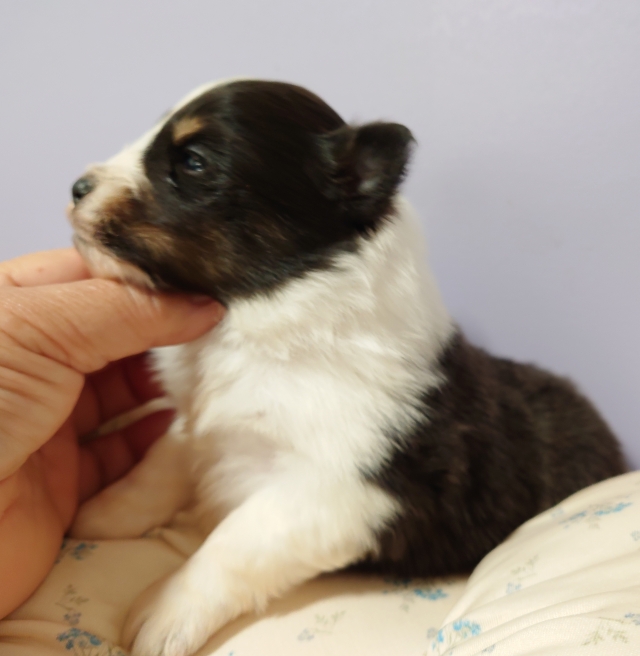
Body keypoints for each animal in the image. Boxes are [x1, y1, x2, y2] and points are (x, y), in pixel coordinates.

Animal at [68, 79, 626, 656]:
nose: (78, 187)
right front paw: (100, 512)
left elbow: (231, 543)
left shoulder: (338, 490)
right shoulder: (198, 423)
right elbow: (158, 467)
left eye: (194, 162)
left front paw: (162, 612)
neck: (254, 323)